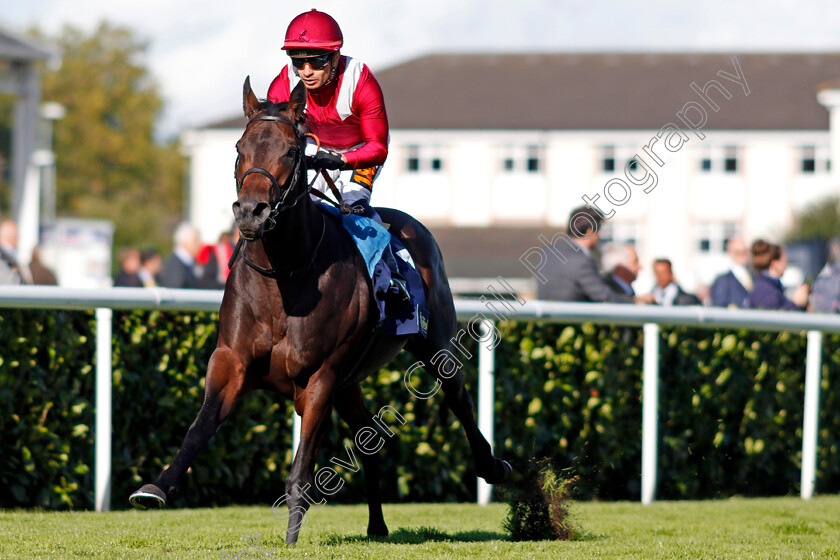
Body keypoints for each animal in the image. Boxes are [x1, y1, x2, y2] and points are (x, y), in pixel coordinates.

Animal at [130, 77, 512, 544]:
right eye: (239, 146)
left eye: (293, 151)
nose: (251, 212)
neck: (284, 276)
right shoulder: (231, 360)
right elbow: (200, 427)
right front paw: (155, 488)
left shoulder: (320, 377)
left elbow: (301, 471)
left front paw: (290, 540)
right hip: (350, 382)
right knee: (369, 436)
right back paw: (377, 526)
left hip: (431, 347)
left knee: (459, 399)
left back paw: (493, 466)